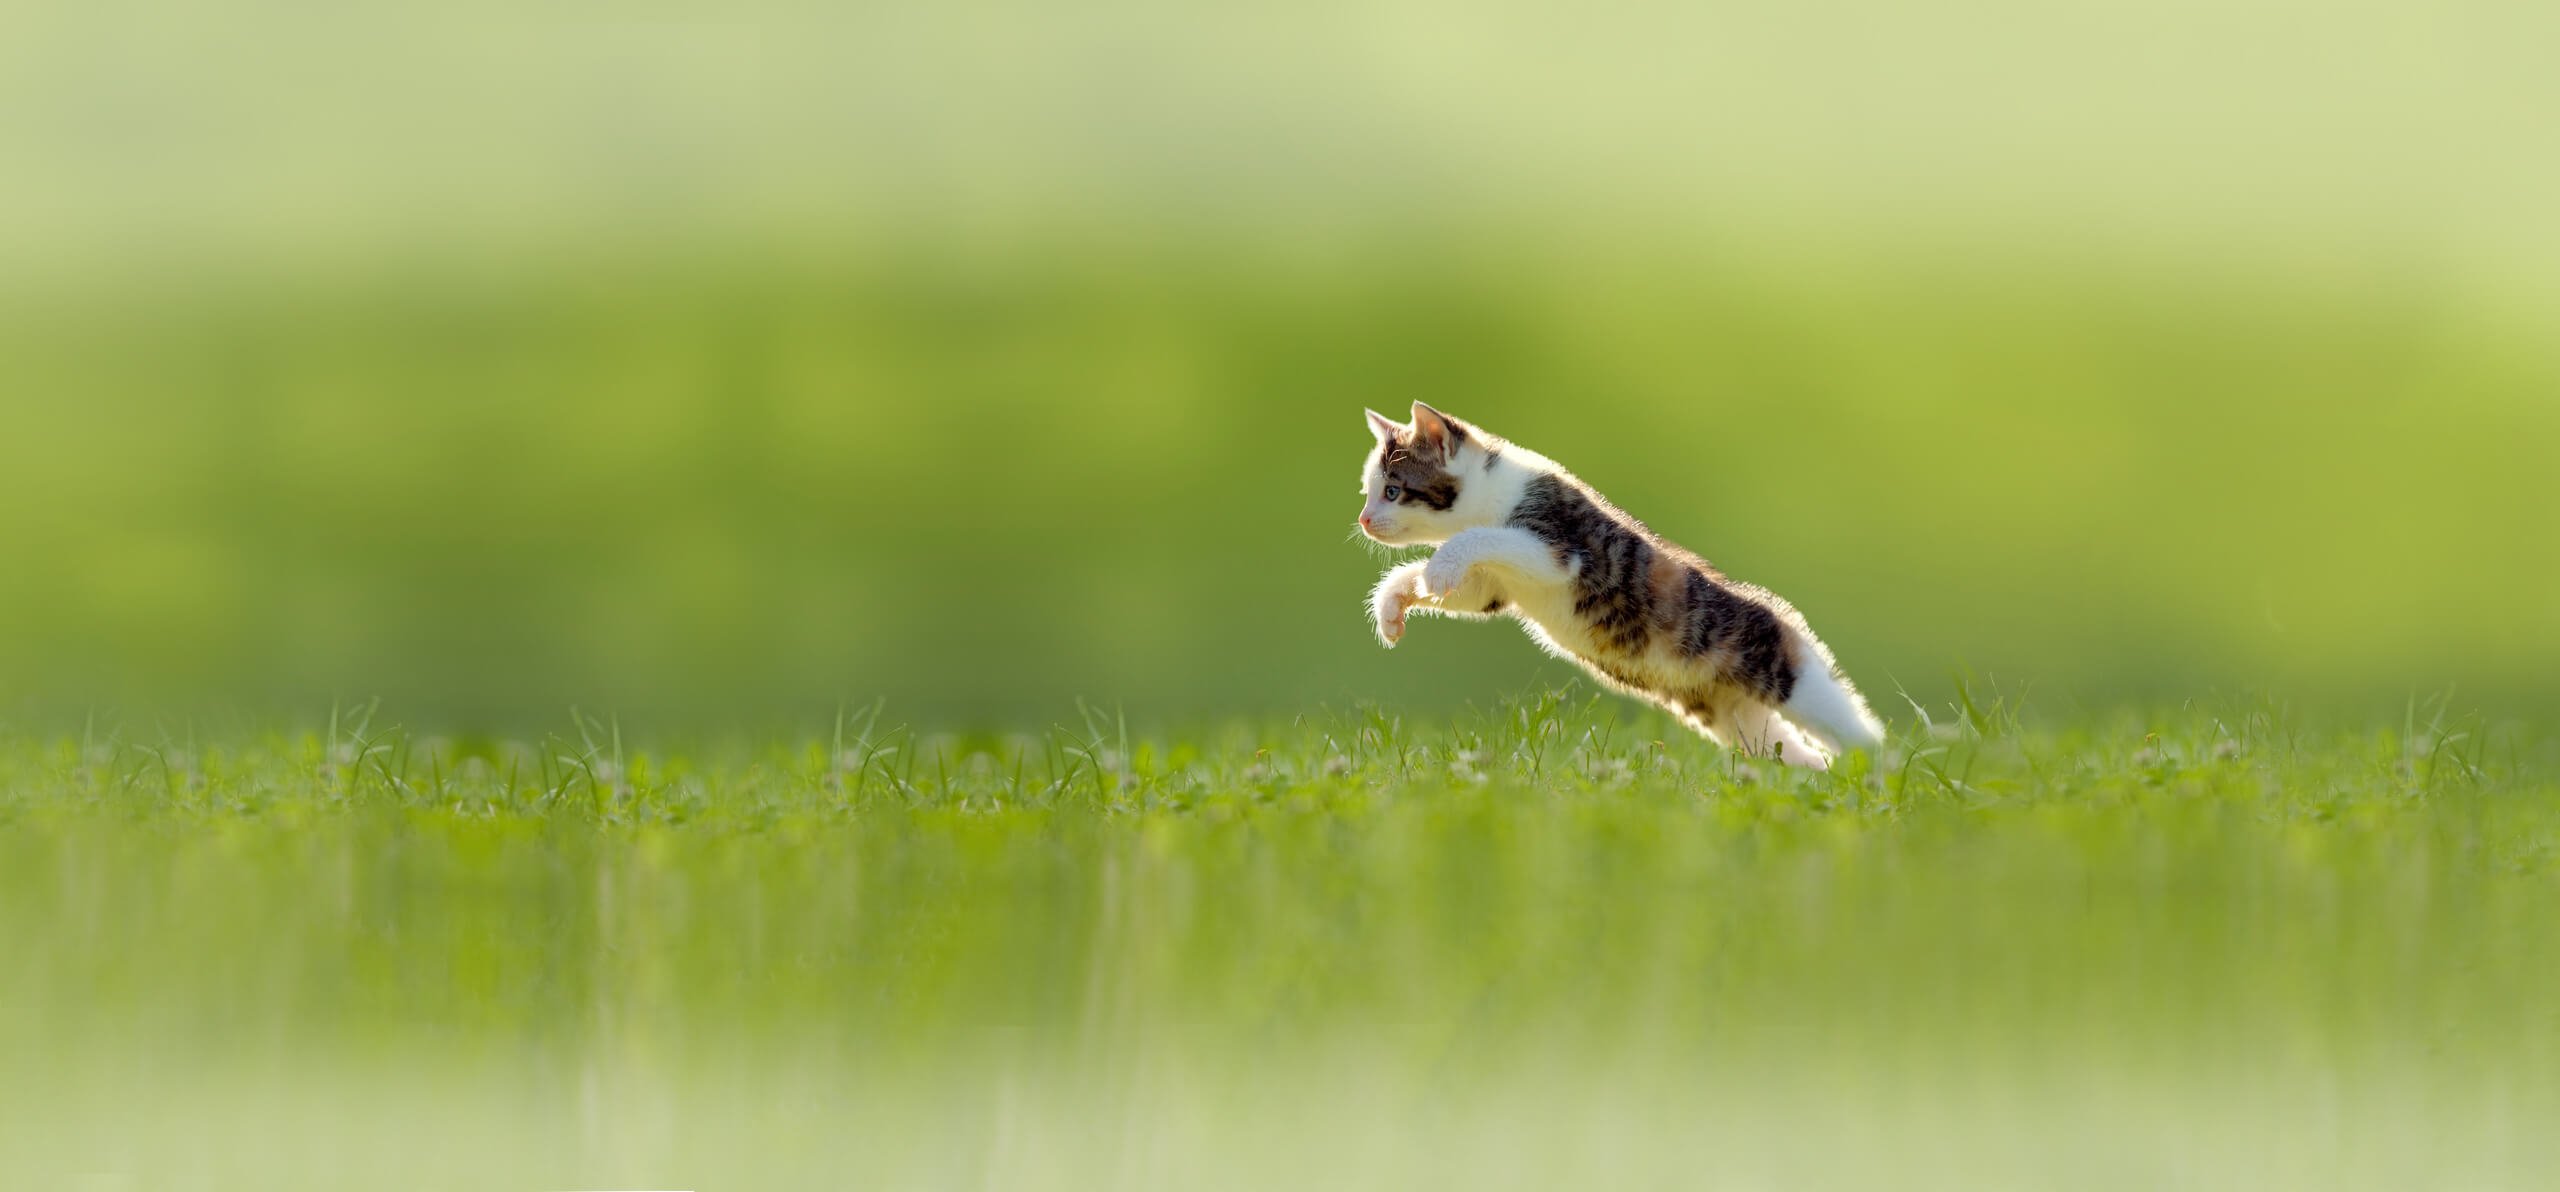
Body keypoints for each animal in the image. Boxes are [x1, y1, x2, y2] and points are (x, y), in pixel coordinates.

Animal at [1361, 404, 1884, 767]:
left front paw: (1438, 568)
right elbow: (1468, 591)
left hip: (1783, 672)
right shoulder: (1495, 585)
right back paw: (1816, 777)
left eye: (1392, 491)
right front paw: (1394, 603)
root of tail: (1775, 610)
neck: (1495, 492)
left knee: (1855, 729)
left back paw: (1879, 775)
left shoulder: (1560, 551)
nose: (1363, 520)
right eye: (1367, 492)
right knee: (1783, 748)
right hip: (1730, 714)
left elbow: (1481, 538)